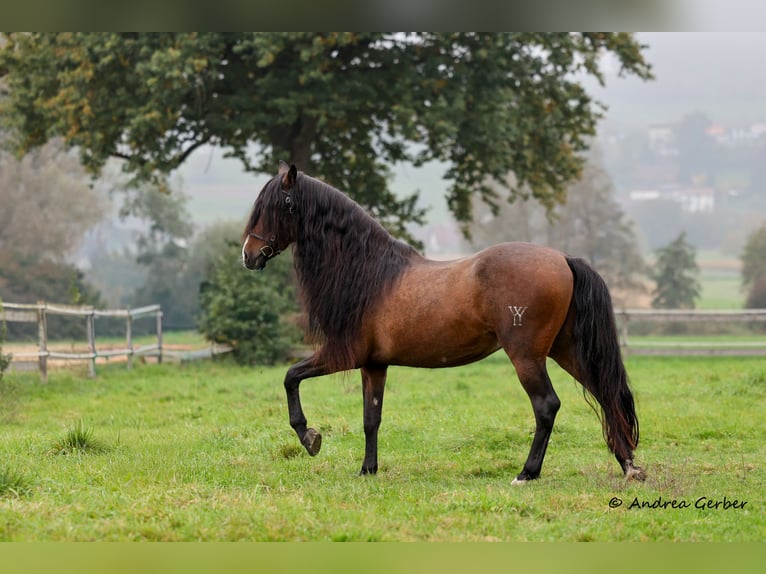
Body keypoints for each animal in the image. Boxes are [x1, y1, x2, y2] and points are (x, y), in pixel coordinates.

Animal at [241, 161, 646, 483]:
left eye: (280, 205)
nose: (249, 255)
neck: (371, 273)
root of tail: (562, 258)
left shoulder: (343, 354)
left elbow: (291, 377)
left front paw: (309, 437)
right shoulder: (373, 365)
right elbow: (371, 418)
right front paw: (368, 469)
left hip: (527, 357)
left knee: (547, 406)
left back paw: (527, 473)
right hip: (568, 350)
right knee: (606, 393)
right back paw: (628, 466)